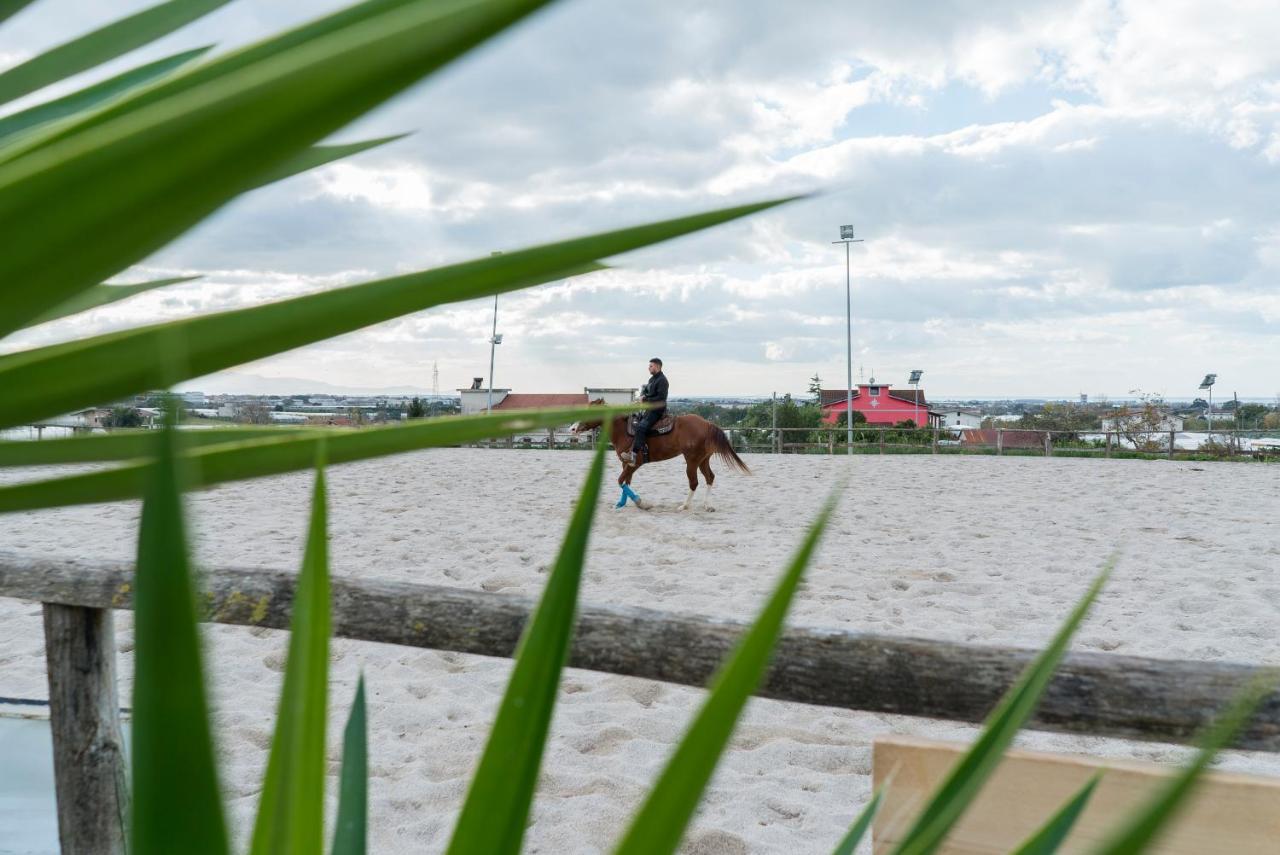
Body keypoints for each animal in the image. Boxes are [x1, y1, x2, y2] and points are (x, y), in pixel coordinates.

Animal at [573, 399, 747, 511]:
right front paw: (621, 503)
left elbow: (621, 481)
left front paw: (641, 503)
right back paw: (706, 505)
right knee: (710, 477)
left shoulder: (635, 463)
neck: (624, 432)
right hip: (703, 460)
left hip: (692, 461)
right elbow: (626, 482)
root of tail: (708, 424)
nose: (573, 428)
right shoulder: (626, 464)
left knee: (694, 482)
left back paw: (684, 506)